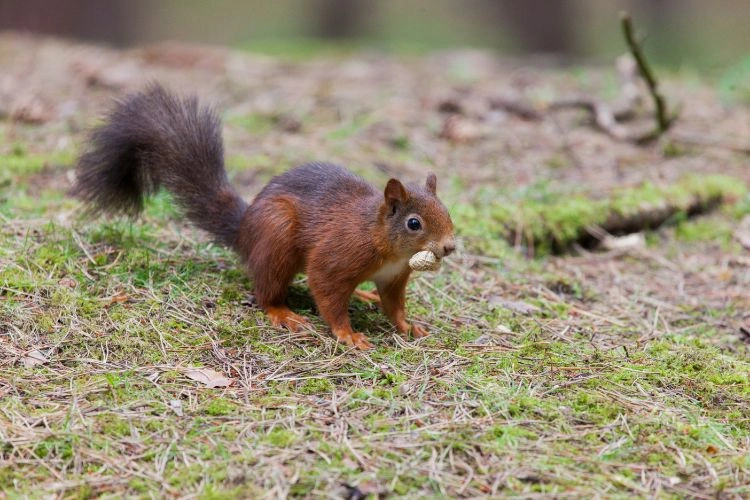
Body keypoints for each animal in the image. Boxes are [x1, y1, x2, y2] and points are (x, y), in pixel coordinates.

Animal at [73, 84, 455, 349]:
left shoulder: (394, 278)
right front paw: (348, 334)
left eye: (447, 213)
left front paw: (408, 326)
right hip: (277, 236)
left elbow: (394, 306)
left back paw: (363, 296)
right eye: (414, 223)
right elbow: (326, 291)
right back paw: (283, 314)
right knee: (266, 291)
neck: (383, 242)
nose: (449, 247)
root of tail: (244, 231)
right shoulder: (338, 255)